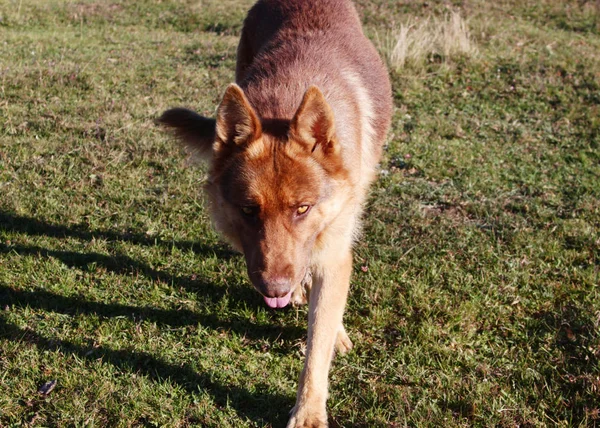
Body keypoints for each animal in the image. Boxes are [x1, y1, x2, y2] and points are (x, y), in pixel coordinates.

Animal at [159, 0, 394, 424]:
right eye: (249, 210)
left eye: (302, 208)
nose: (275, 291)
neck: (283, 106)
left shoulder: (334, 250)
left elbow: (318, 344)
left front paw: (309, 410)